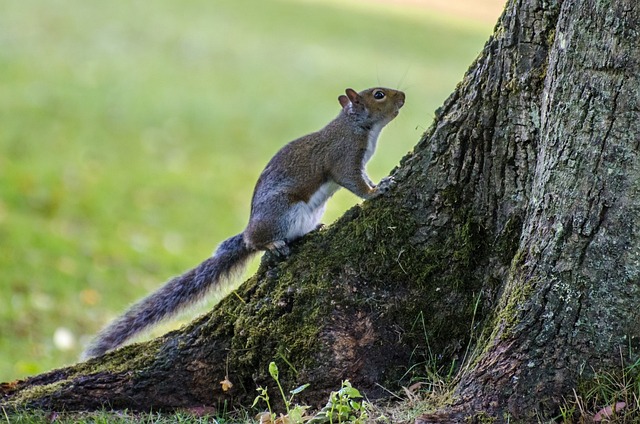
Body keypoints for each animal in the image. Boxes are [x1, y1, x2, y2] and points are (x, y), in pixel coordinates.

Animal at [82, 88, 404, 360]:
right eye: (378, 94)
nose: (402, 97)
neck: (355, 126)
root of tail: (249, 230)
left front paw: (380, 183)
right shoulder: (343, 157)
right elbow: (354, 181)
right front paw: (377, 191)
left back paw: (312, 229)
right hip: (281, 212)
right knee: (257, 242)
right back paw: (273, 244)